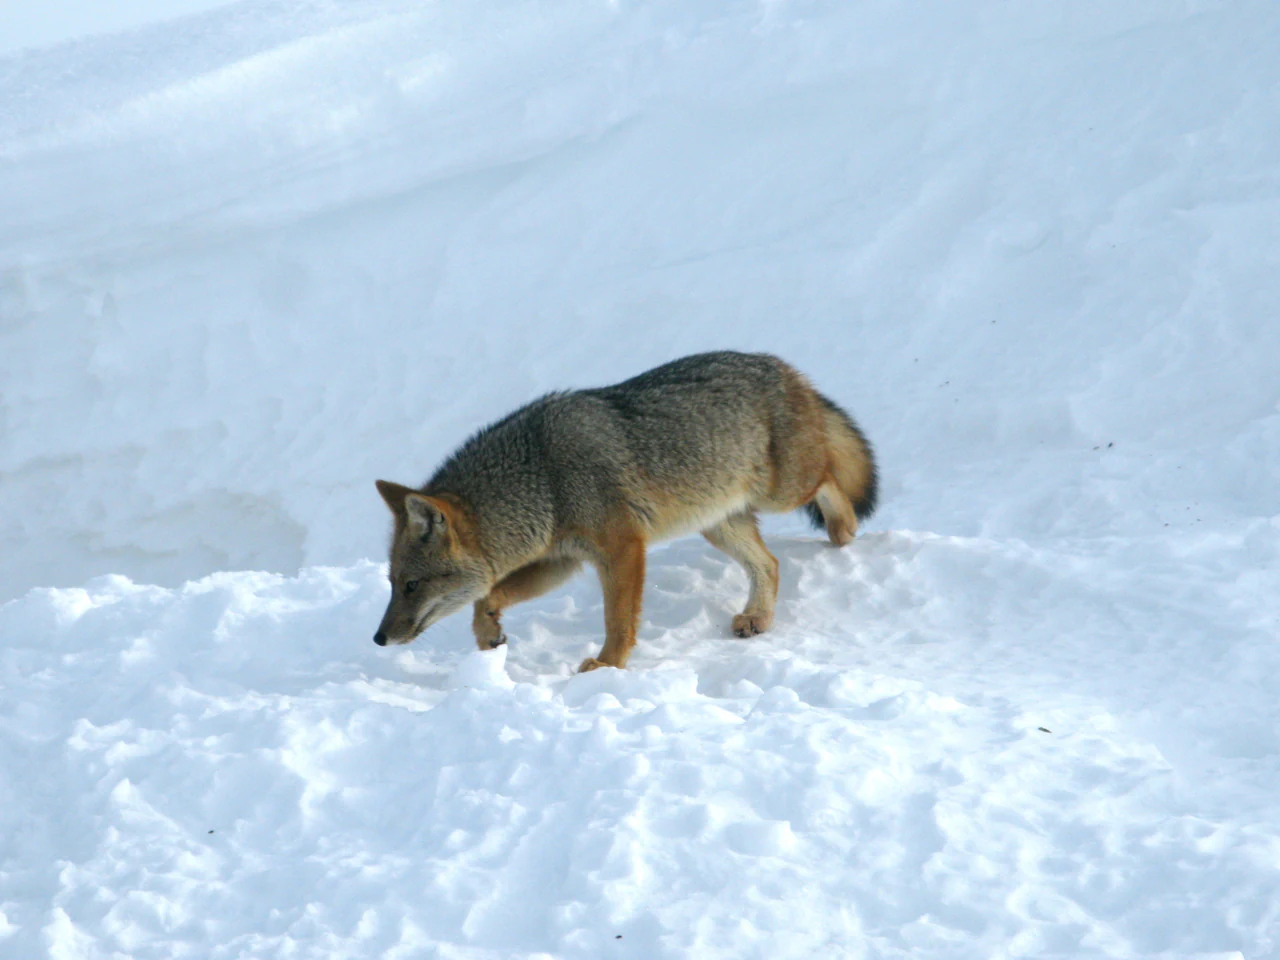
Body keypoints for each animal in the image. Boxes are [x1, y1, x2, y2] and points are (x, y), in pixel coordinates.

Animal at [373, 351, 877, 672]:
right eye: (393, 583)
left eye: (412, 585)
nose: (378, 639)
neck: (543, 476)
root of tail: (786, 368)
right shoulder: (563, 560)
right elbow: (488, 596)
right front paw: (487, 634)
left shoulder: (621, 549)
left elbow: (617, 621)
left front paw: (607, 665)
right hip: (717, 526)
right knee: (769, 564)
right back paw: (757, 616)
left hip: (783, 493)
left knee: (831, 479)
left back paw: (844, 530)